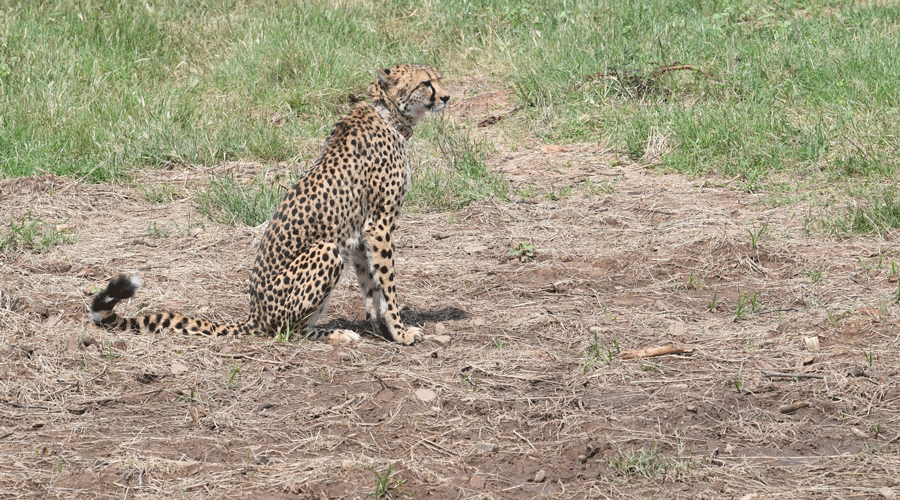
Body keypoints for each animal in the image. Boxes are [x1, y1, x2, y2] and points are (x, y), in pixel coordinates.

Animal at [91, 63, 450, 344]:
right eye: (426, 83)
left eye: (439, 78)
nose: (446, 97)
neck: (389, 114)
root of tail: (255, 314)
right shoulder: (379, 225)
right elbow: (387, 283)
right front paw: (400, 332)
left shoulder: (361, 233)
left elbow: (371, 285)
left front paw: (382, 327)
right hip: (326, 251)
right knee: (286, 330)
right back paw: (335, 334)